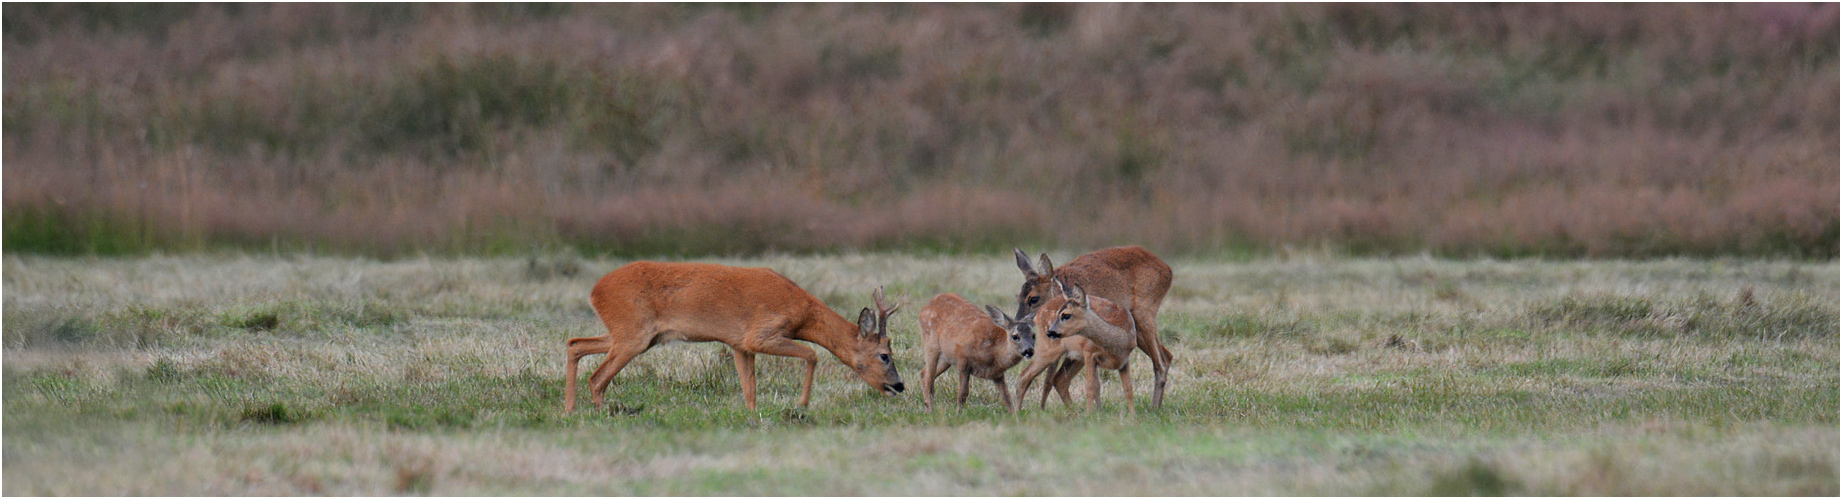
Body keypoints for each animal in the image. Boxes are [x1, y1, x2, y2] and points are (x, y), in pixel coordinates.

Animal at [560, 261, 906, 415]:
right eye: (884, 355)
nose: (899, 386)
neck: (803, 312)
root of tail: (595, 291)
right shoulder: (760, 335)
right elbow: (812, 354)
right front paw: (802, 403)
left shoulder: (739, 345)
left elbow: (749, 387)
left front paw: (753, 417)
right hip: (633, 334)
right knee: (597, 376)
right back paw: (603, 413)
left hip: (634, 335)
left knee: (575, 344)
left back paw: (570, 410)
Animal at [1017, 245, 1172, 407]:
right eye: (1018, 297)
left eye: (1034, 298)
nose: (1018, 324)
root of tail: (1167, 269)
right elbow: (1052, 378)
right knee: (1167, 356)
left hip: (1145, 314)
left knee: (1160, 362)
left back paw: (1153, 407)